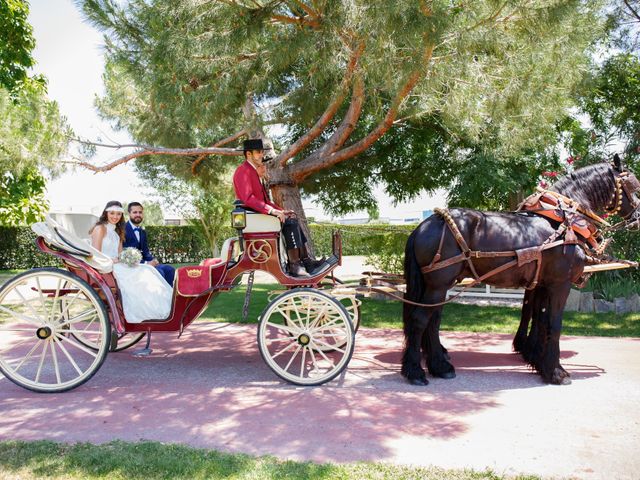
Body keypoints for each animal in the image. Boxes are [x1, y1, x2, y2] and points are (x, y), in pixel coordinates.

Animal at [402, 158, 636, 386]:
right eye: (633, 185)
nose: (637, 216)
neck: (563, 223)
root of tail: (423, 226)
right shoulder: (560, 284)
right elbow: (554, 324)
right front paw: (556, 372)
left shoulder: (542, 283)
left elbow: (539, 319)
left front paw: (537, 361)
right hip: (438, 285)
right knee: (420, 320)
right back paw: (416, 371)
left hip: (439, 286)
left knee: (433, 321)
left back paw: (440, 366)